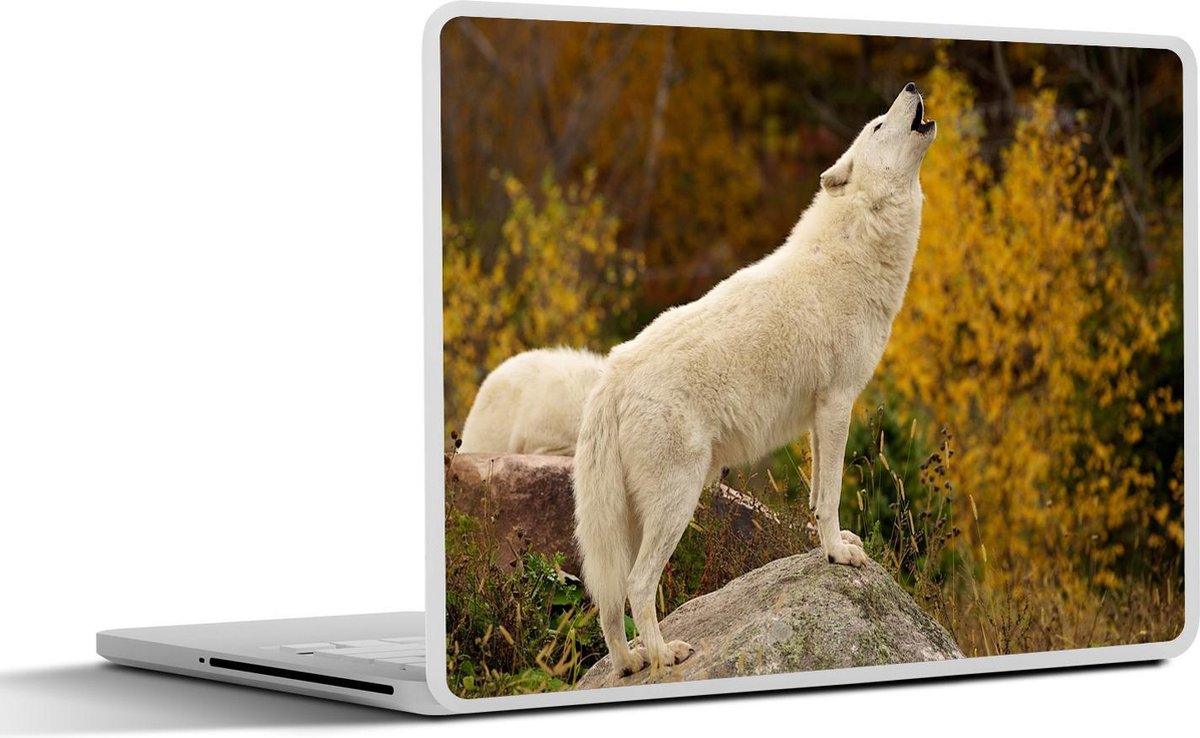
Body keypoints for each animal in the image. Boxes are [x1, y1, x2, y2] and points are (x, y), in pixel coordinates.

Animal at [573, 83, 936, 676]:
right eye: (878, 126)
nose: (909, 87)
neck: (856, 245)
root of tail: (612, 375)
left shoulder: (820, 415)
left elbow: (815, 496)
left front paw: (830, 544)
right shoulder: (838, 404)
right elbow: (832, 494)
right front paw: (838, 554)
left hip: (623, 519)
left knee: (605, 597)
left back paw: (628, 663)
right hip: (677, 500)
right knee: (637, 584)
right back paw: (664, 655)